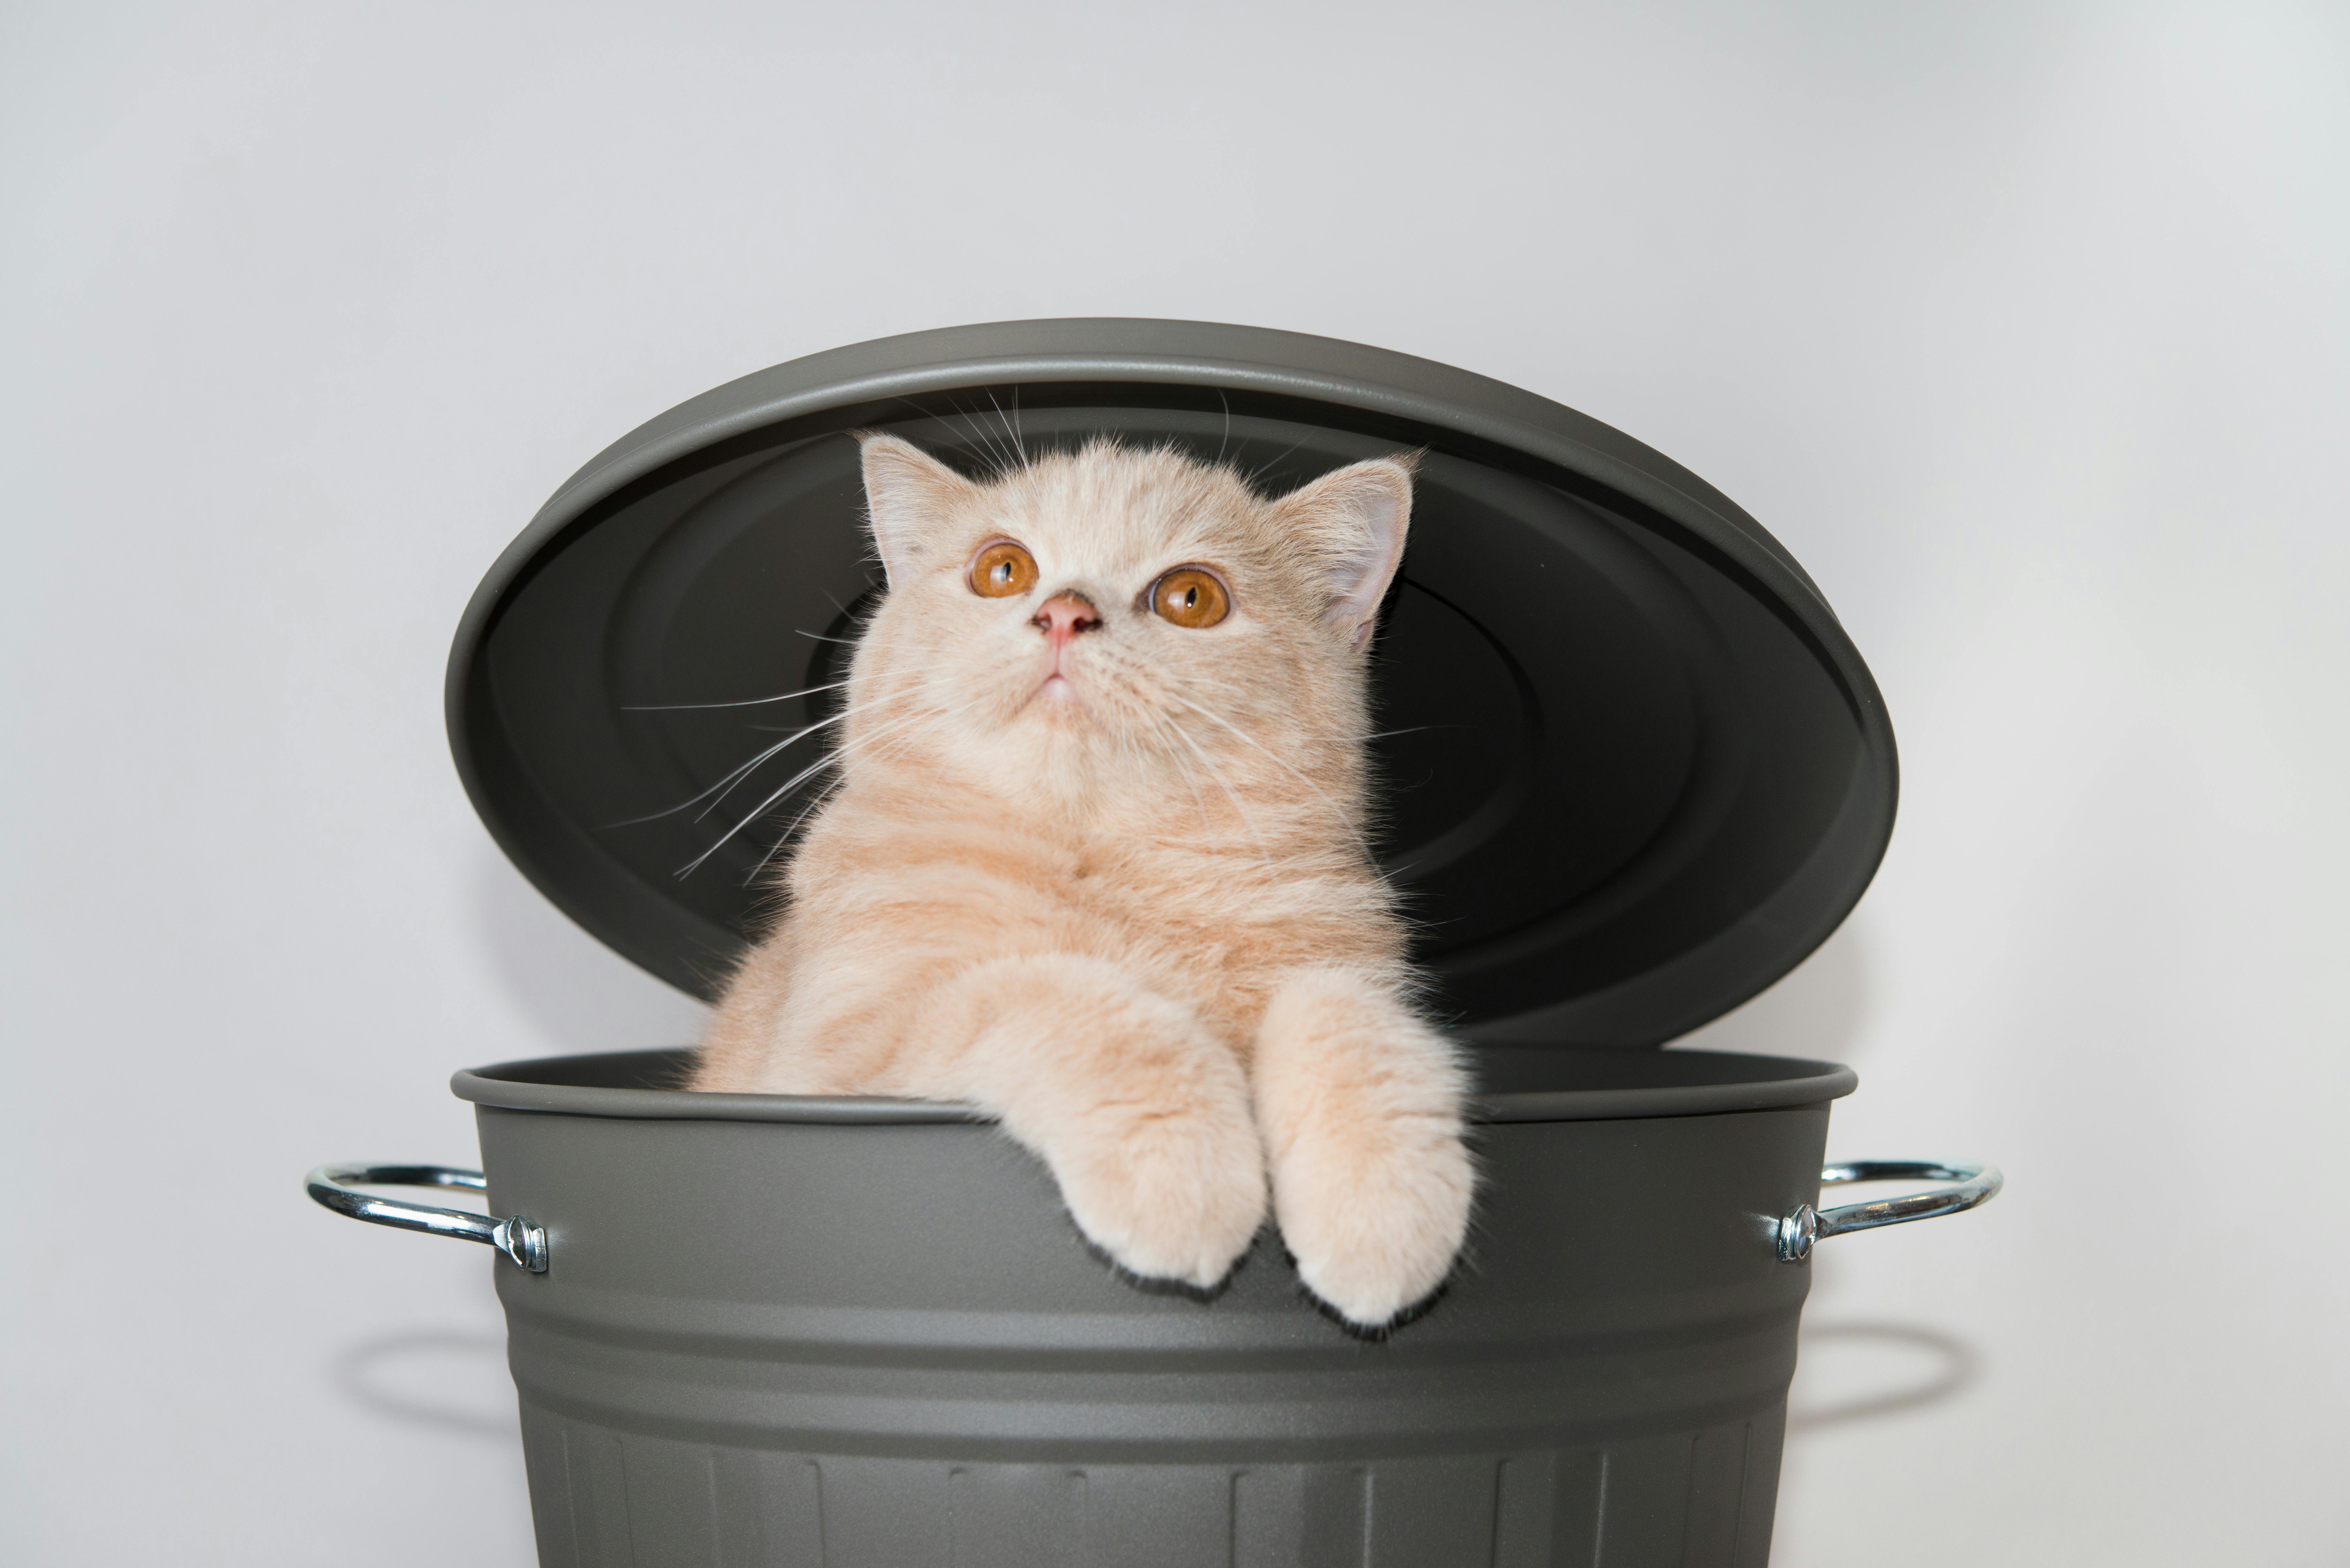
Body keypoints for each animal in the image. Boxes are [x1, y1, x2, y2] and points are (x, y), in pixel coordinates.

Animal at [686, 433, 1476, 1326]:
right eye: (1002, 569)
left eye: (1191, 596)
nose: (1063, 612)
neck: (1106, 863)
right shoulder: (840, 1047)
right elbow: (1055, 992)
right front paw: (1181, 1169)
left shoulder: (1343, 967)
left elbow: (1349, 1017)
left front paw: (1383, 1201)